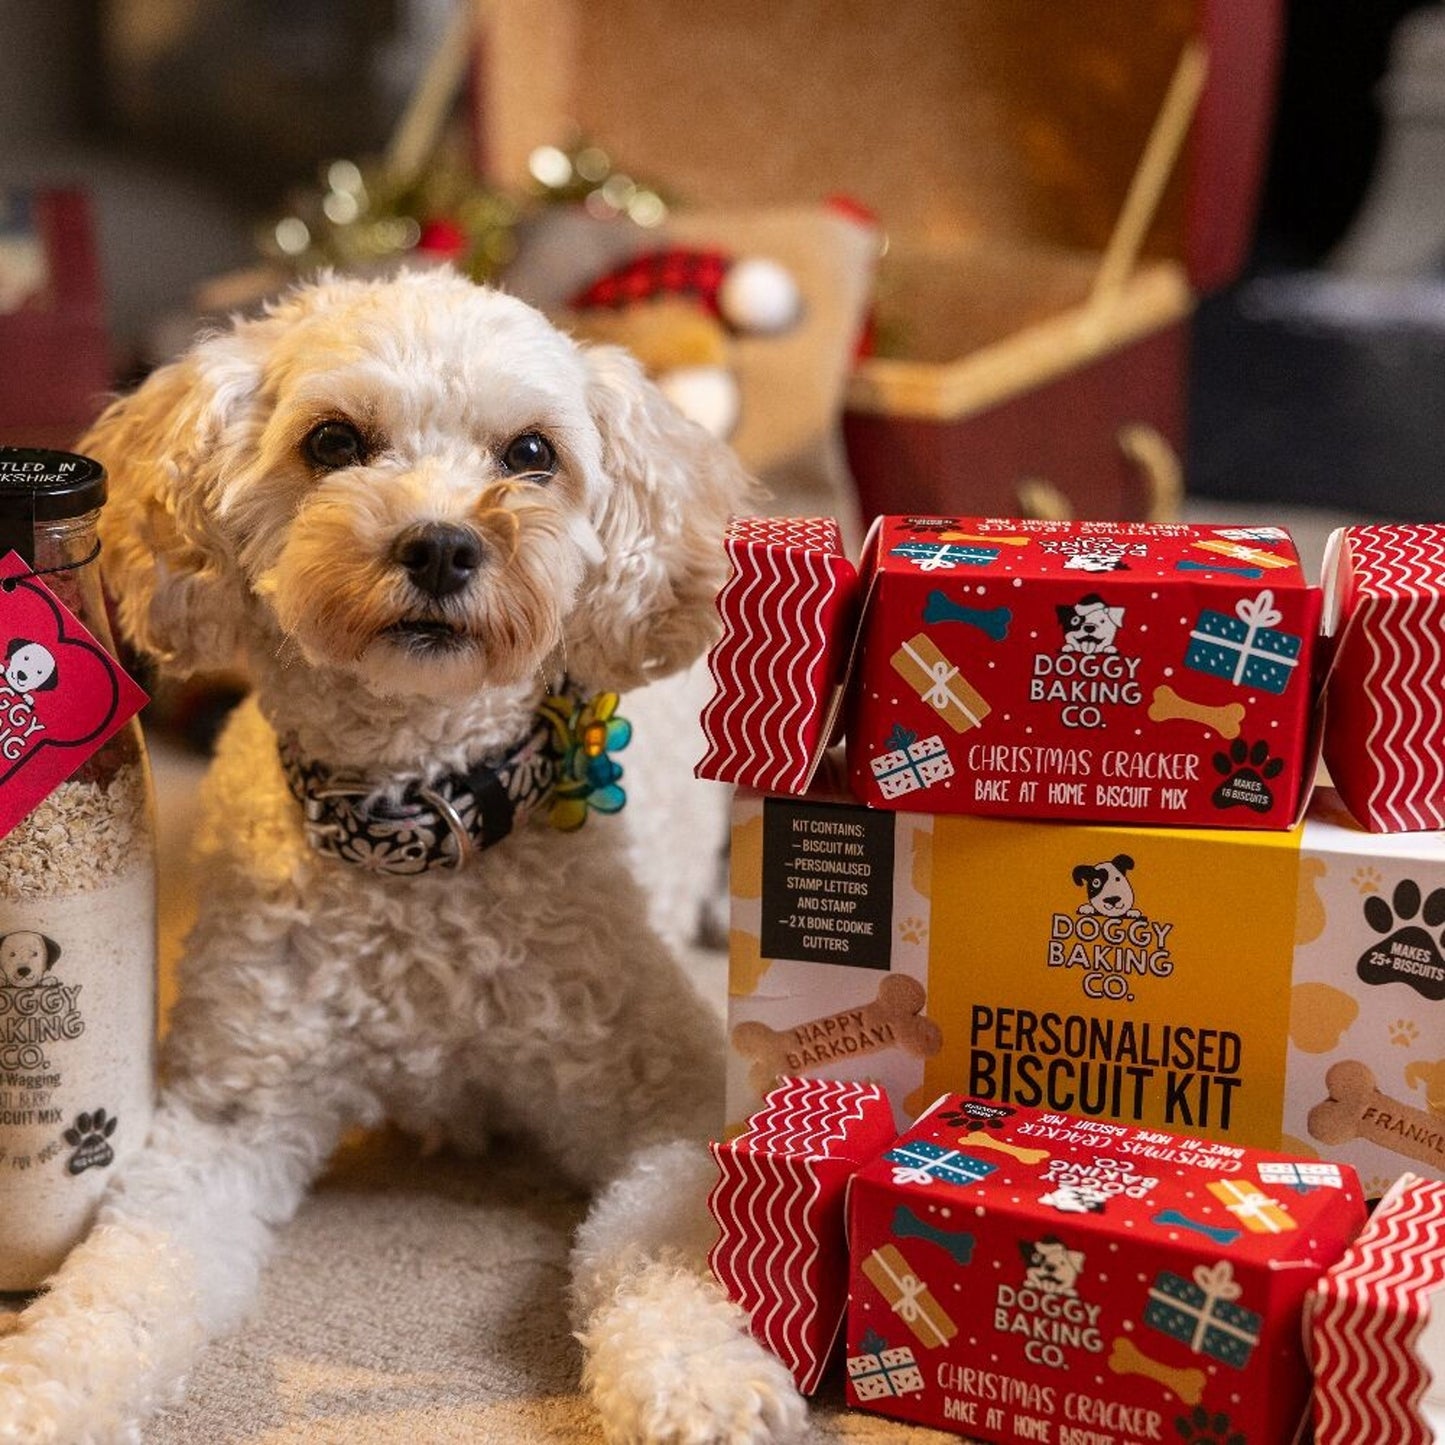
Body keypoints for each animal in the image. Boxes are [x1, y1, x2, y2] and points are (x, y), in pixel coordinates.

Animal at [0, 271, 803, 1445]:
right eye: (333, 440)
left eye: (531, 452)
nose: (440, 546)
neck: (417, 822)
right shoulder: (224, 1120)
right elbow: (125, 1277)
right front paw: (43, 1387)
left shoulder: (675, 1099)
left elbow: (658, 1245)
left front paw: (699, 1372)